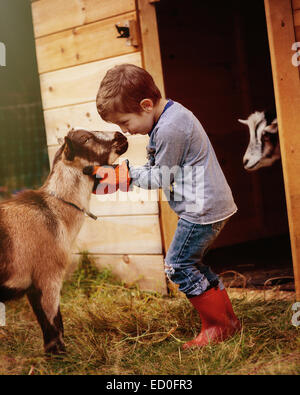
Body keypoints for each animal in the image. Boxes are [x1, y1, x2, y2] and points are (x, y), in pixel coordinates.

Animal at [0, 128, 127, 354]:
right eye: (86, 138)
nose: (121, 136)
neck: (54, 211)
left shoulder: (33, 288)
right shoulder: (48, 277)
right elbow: (54, 326)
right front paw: (61, 356)